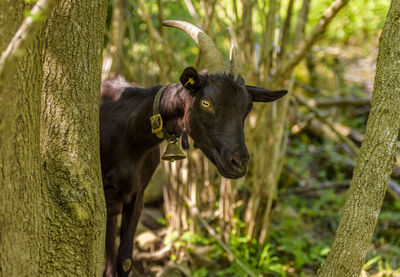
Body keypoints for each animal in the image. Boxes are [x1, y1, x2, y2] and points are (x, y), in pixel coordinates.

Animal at [101, 21, 288, 276]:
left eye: (247, 107)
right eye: (206, 102)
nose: (238, 163)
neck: (128, 134)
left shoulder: (137, 193)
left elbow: (125, 261)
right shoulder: (106, 194)